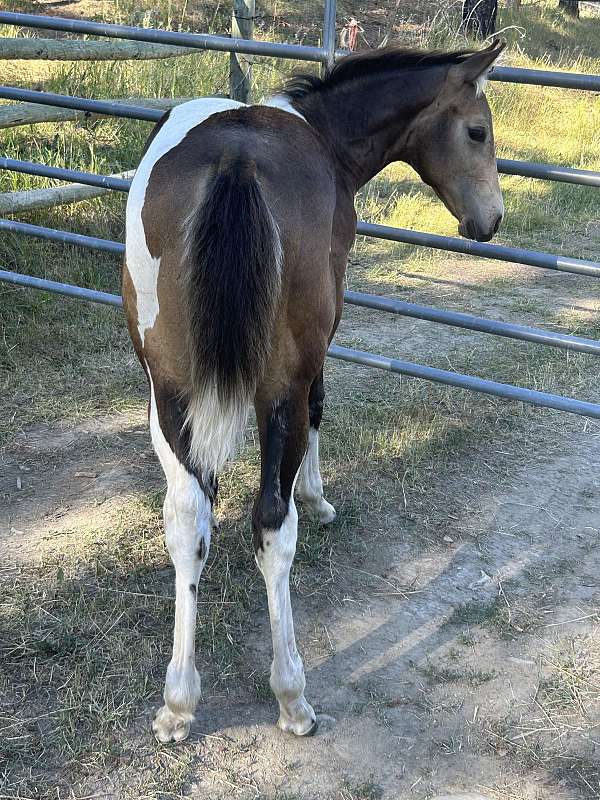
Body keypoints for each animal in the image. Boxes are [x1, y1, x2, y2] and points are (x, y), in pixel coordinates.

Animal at [122, 39, 506, 744]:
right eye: (476, 131)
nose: (489, 220)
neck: (323, 134)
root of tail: (236, 162)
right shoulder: (319, 346)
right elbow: (322, 409)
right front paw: (318, 496)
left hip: (168, 390)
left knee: (187, 519)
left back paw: (178, 703)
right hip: (278, 389)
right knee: (273, 528)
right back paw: (292, 696)